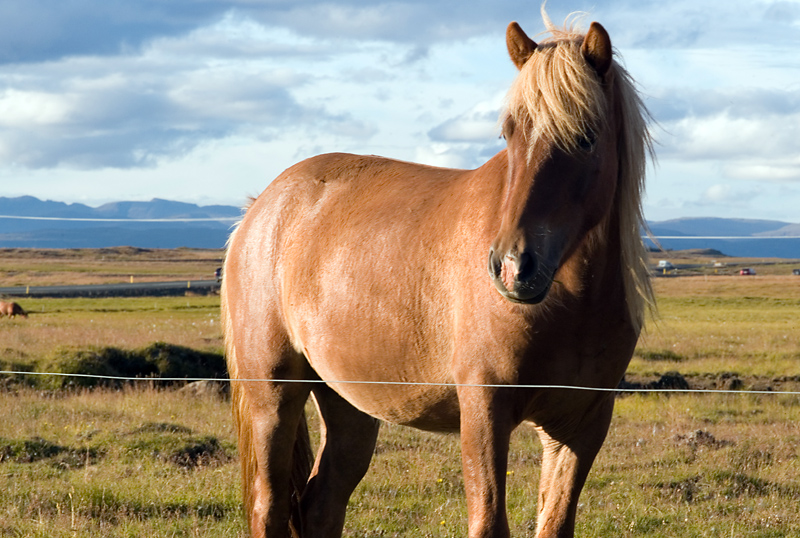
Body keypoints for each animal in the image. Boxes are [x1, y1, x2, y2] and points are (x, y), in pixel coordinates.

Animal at [219, 12, 648, 536]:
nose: (512, 267)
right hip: (273, 396)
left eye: (586, 137)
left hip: (348, 402)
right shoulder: (484, 409)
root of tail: (260, 208)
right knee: (269, 504)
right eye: (509, 134)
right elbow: (488, 521)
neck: (570, 303)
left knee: (322, 502)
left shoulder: (580, 425)